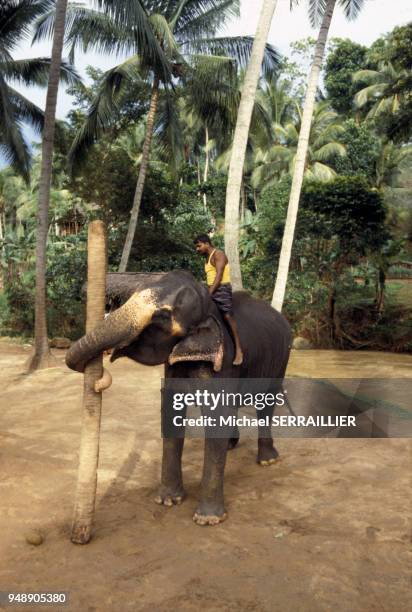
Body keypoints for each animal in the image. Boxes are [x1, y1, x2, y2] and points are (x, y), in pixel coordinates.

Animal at [66, 270, 292, 524]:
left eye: (162, 316)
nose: (101, 375)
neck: (208, 307)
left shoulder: (223, 361)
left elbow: (216, 415)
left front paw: (207, 519)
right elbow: (171, 410)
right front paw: (168, 501)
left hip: (280, 359)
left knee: (267, 403)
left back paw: (268, 460)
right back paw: (231, 445)